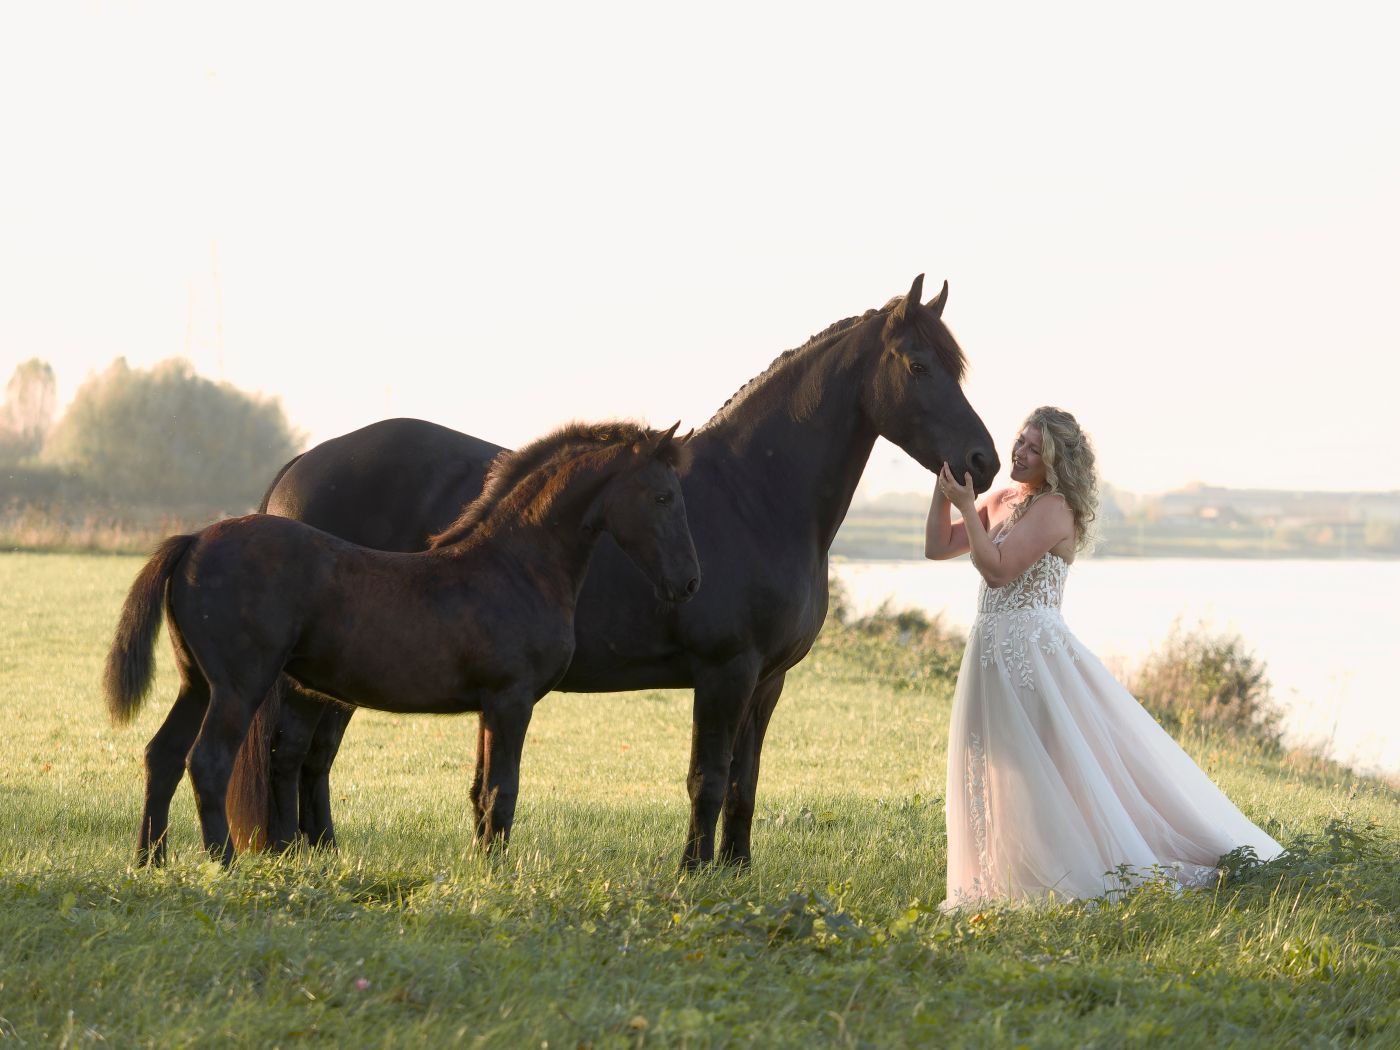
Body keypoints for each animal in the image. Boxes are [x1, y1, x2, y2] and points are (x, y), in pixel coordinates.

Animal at [104, 421, 699, 865]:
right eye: (663, 496)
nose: (689, 582)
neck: (514, 565)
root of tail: (195, 539)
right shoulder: (512, 700)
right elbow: (503, 790)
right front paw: (497, 874)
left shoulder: (491, 705)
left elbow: (482, 791)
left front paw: (482, 866)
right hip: (238, 687)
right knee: (208, 761)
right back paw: (223, 862)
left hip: (197, 684)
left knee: (163, 755)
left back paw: (151, 862)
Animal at [228, 274, 1000, 868]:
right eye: (918, 366)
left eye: (956, 366)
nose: (982, 461)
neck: (754, 495)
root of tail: (300, 467)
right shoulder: (725, 671)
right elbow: (707, 778)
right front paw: (695, 873)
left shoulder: (768, 680)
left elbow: (745, 783)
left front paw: (737, 870)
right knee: (291, 750)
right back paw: (290, 855)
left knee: (314, 756)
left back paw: (319, 851)